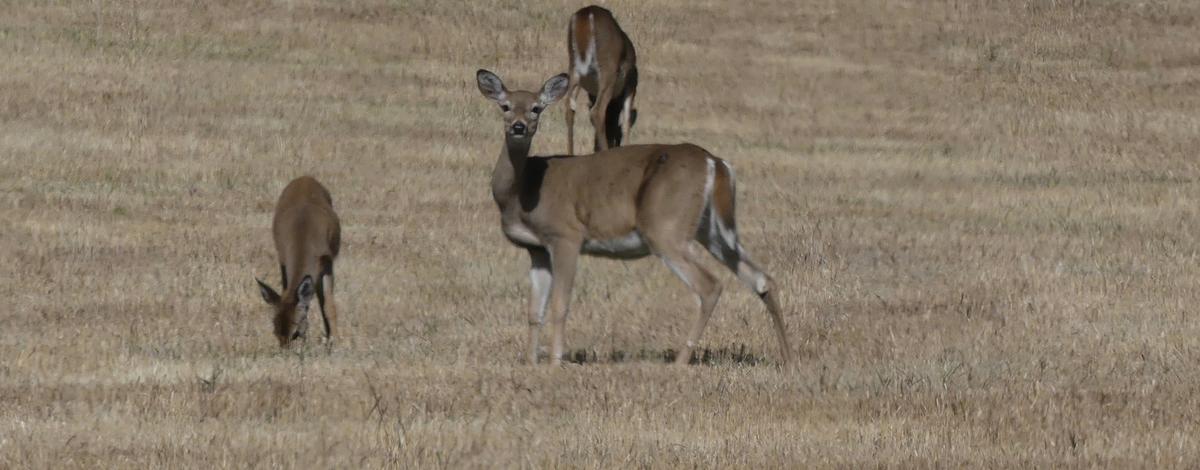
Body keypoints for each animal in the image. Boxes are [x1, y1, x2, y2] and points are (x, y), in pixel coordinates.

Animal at [254, 176, 342, 348]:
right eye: (275, 331)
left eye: (294, 333)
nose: (285, 350)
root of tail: (305, 178)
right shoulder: (283, 259)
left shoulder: (327, 262)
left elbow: (328, 304)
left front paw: (338, 341)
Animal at [475, 69, 792, 366]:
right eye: (505, 106)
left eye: (536, 108)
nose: (519, 127)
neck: (522, 190)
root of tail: (715, 162)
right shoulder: (537, 249)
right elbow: (534, 310)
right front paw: (531, 363)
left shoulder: (566, 235)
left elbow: (559, 305)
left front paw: (554, 363)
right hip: (712, 229)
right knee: (762, 279)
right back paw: (788, 358)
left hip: (665, 226)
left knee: (710, 285)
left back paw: (680, 361)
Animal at [565, 5, 639, 155]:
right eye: (616, 136)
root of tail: (586, 14)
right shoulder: (632, 82)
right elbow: (627, 121)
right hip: (608, 69)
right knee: (597, 112)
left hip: (574, 70)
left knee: (569, 108)